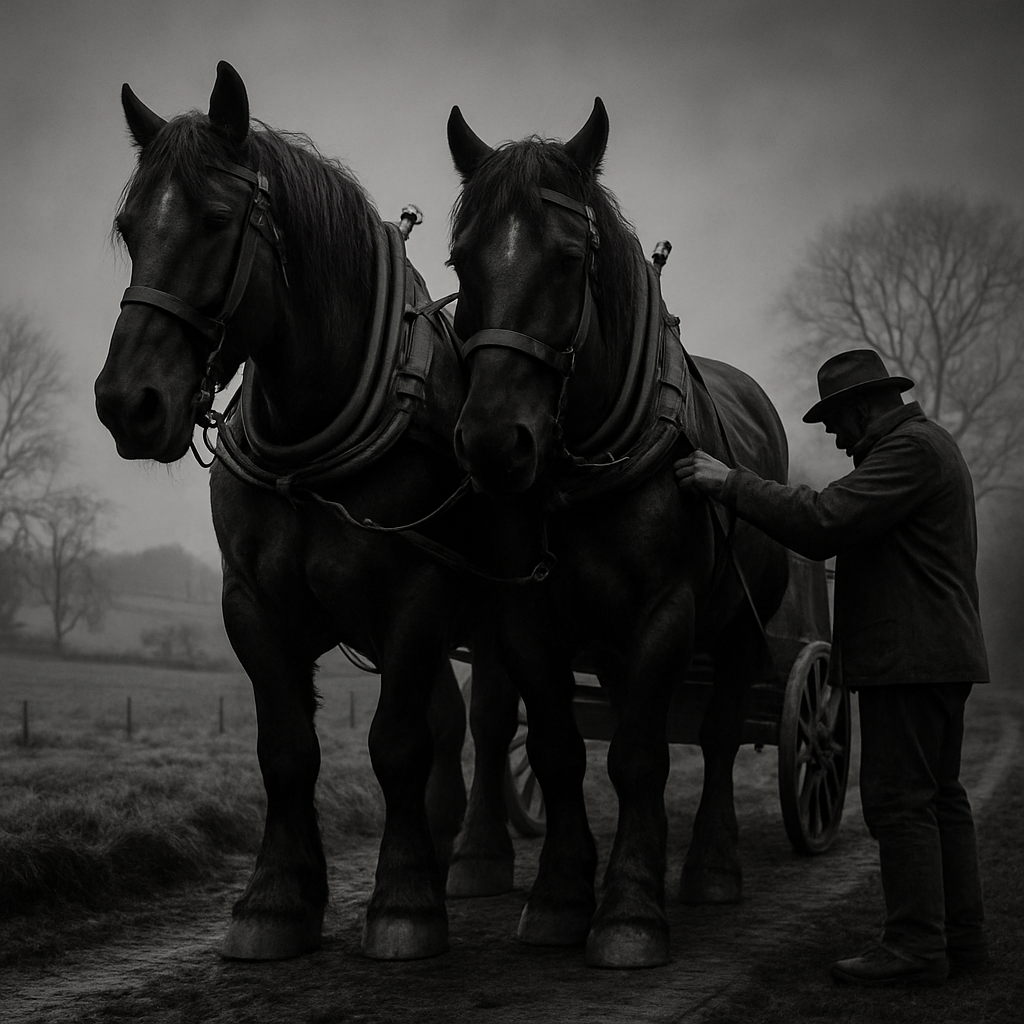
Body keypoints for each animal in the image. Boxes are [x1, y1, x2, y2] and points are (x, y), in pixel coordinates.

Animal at [95, 61, 496, 963]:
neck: (307, 445)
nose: (127, 404)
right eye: (129, 228)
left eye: (215, 221)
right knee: (457, 726)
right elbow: (285, 751)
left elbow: (395, 745)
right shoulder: (252, 604)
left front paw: (404, 902)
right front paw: (277, 899)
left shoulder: (417, 598)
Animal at [445, 98, 791, 968]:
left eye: (569, 260)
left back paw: (710, 866)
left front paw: (630, 909)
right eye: (461, 262)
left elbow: (640, 755)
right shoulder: (526, 619)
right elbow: (557, 750)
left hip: (741, 630)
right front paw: (561, 895)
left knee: (720, 732)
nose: (494, 443)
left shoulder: (665, 615)